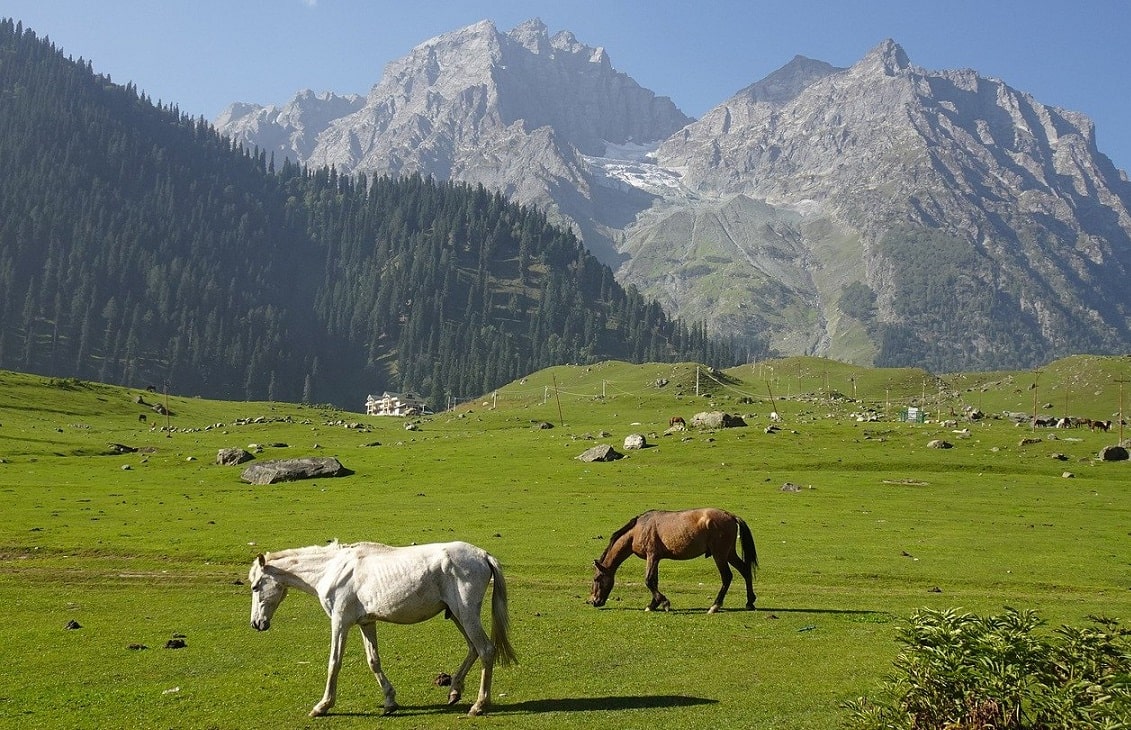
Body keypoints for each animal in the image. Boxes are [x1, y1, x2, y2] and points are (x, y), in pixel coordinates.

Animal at [248, 538, 517, 715]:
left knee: (485, 650)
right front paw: (389, 702)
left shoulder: (340, 622)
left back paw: (479, 705)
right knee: (473, 649)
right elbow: (373, 661)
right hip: (457, 616)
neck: (332, 570)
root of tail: (483, 555)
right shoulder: (366, 622)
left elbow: (334, 662)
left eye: (255, 586)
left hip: (466, 614)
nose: (256, 624)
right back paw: (454, 691)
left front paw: (322, 706)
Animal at [588, 507, 755, 615]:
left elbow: (649, 581)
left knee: (727, 577)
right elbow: (654, 581)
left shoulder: (651, 556)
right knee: (745, 570)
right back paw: (750, 602)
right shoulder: (655, 558)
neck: (637, 530)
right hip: (729, 553)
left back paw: (715, 606)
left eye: (596, 579)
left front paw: (664, 603)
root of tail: (731, 516)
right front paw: (653, 604)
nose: (593, 601)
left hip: (719, 555)